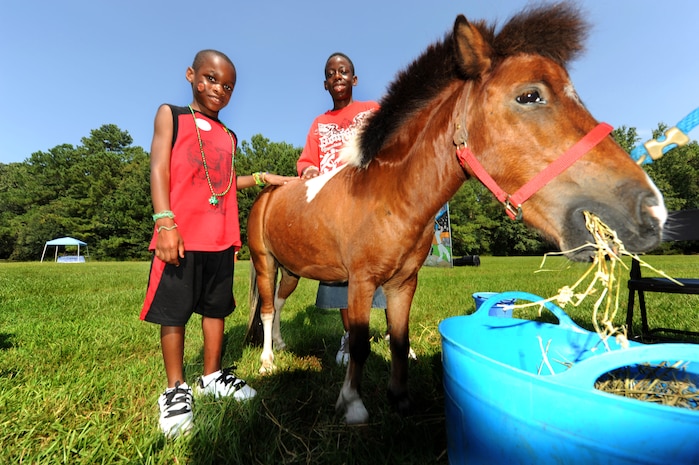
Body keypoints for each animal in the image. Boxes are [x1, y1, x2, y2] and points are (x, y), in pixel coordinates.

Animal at [245, 3, 667, 425]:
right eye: (529, 95)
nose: (650, 210)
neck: (386, 196)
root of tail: (269, 192)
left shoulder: (403, 284)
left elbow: (400, 341)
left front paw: (400, 399)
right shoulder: (362, 282)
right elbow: (361, 343)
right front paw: (352, 404)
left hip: (293, 270)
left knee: (278, 305)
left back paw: (279, 345)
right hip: (266, 263)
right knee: (265, 309)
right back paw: (266, 361)